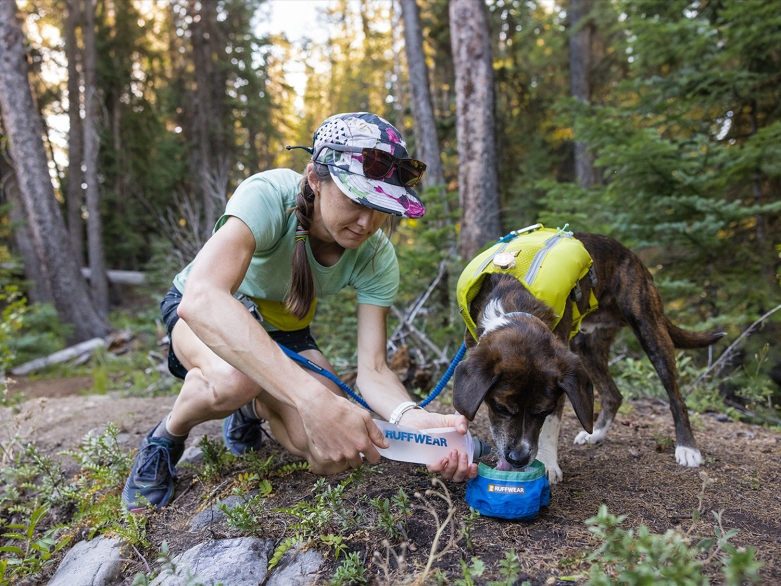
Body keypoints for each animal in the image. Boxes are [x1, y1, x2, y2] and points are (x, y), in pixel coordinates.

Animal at [450, 230, 724, 482]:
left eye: (543, 411)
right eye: (500, 407)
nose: (519, 459)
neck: (516, 303)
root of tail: (633, 257)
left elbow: (550, 429)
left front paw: (548, 464)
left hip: (650, 329)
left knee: (676, 398)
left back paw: (687, 448)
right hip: (587, 347)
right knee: (613, 395)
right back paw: (596, 434)